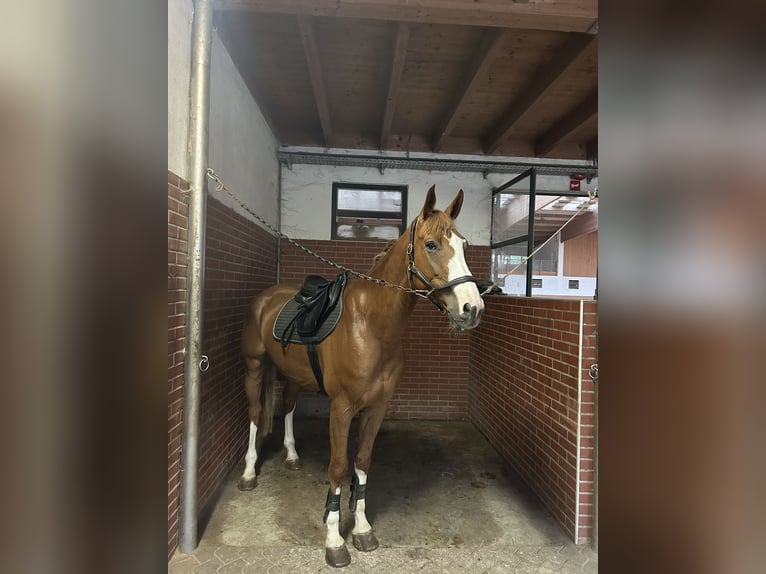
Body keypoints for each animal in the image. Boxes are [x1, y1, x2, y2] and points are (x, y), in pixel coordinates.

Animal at [240, 187, 484, 568]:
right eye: (431, 244)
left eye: (464, 244)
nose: (472, 309)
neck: (370, 325)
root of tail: (266, 298)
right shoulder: (341, 409)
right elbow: (339, 467)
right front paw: (334, 540)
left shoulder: (376, 408)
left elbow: (363, 462)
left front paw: (362, 529)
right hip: (254, 366)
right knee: (254, 413)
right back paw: (249, 473)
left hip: (294, 376)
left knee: (289, 406)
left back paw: (292, 456)